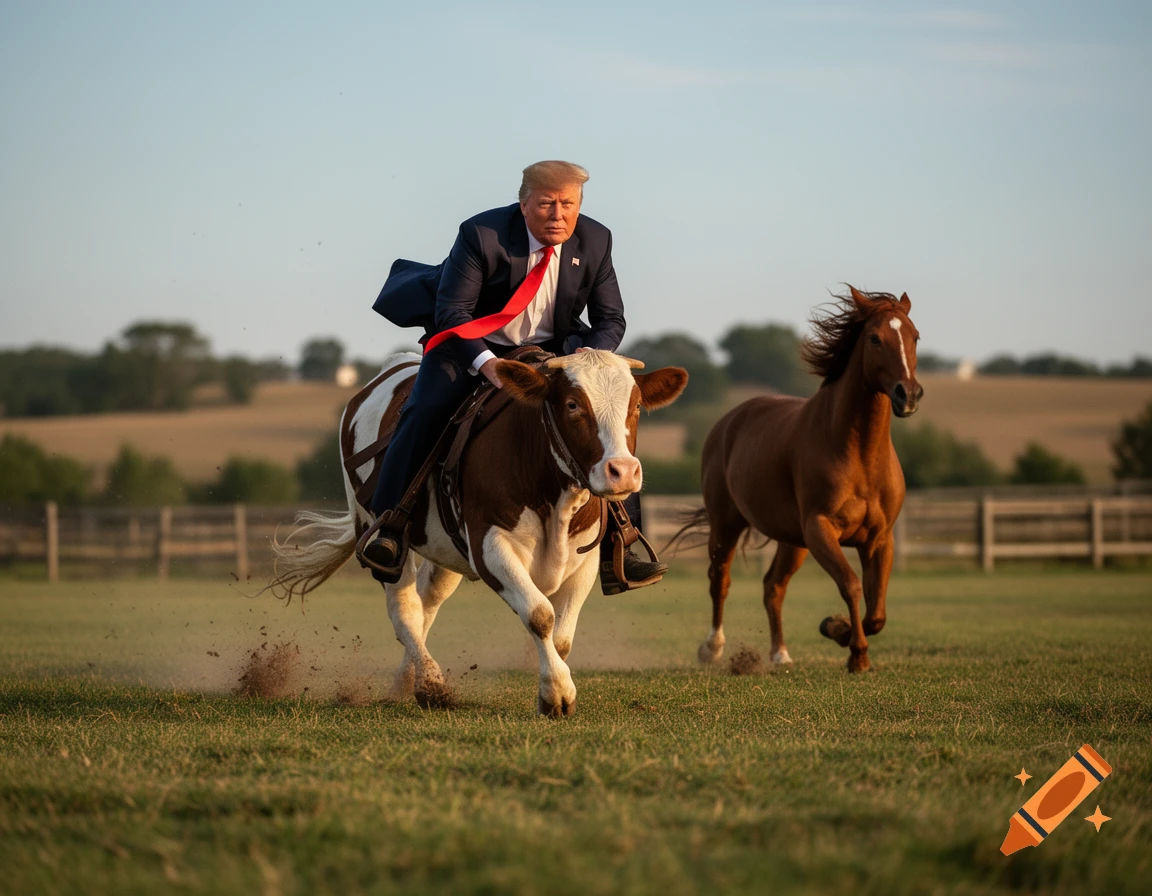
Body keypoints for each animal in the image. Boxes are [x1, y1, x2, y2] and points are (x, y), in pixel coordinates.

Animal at [268, 349, 688, 716]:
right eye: (572, 405)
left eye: (636, 407)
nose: (622, 471)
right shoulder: (492, 547)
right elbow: (540, 614)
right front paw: (557, 694)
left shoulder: (584, 559)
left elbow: (562, 636)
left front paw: (553, 687)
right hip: (378, 534)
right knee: (404, 607)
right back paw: (431, 683)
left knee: (427, 602)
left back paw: (408, 679)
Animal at [677, 286, 922, 673]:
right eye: (874, 338)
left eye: (915, 337)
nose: (908, 394)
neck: (859, 454)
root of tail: (728, 421)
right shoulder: (820, 529)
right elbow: (852, 585)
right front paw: (856, 653)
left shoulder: (879, 539)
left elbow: (877, 609)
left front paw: (836, 629)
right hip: (727, 524)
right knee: (721, 580)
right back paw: (712, 648)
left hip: (792, 542)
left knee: (773, 587)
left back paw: (780, 653)